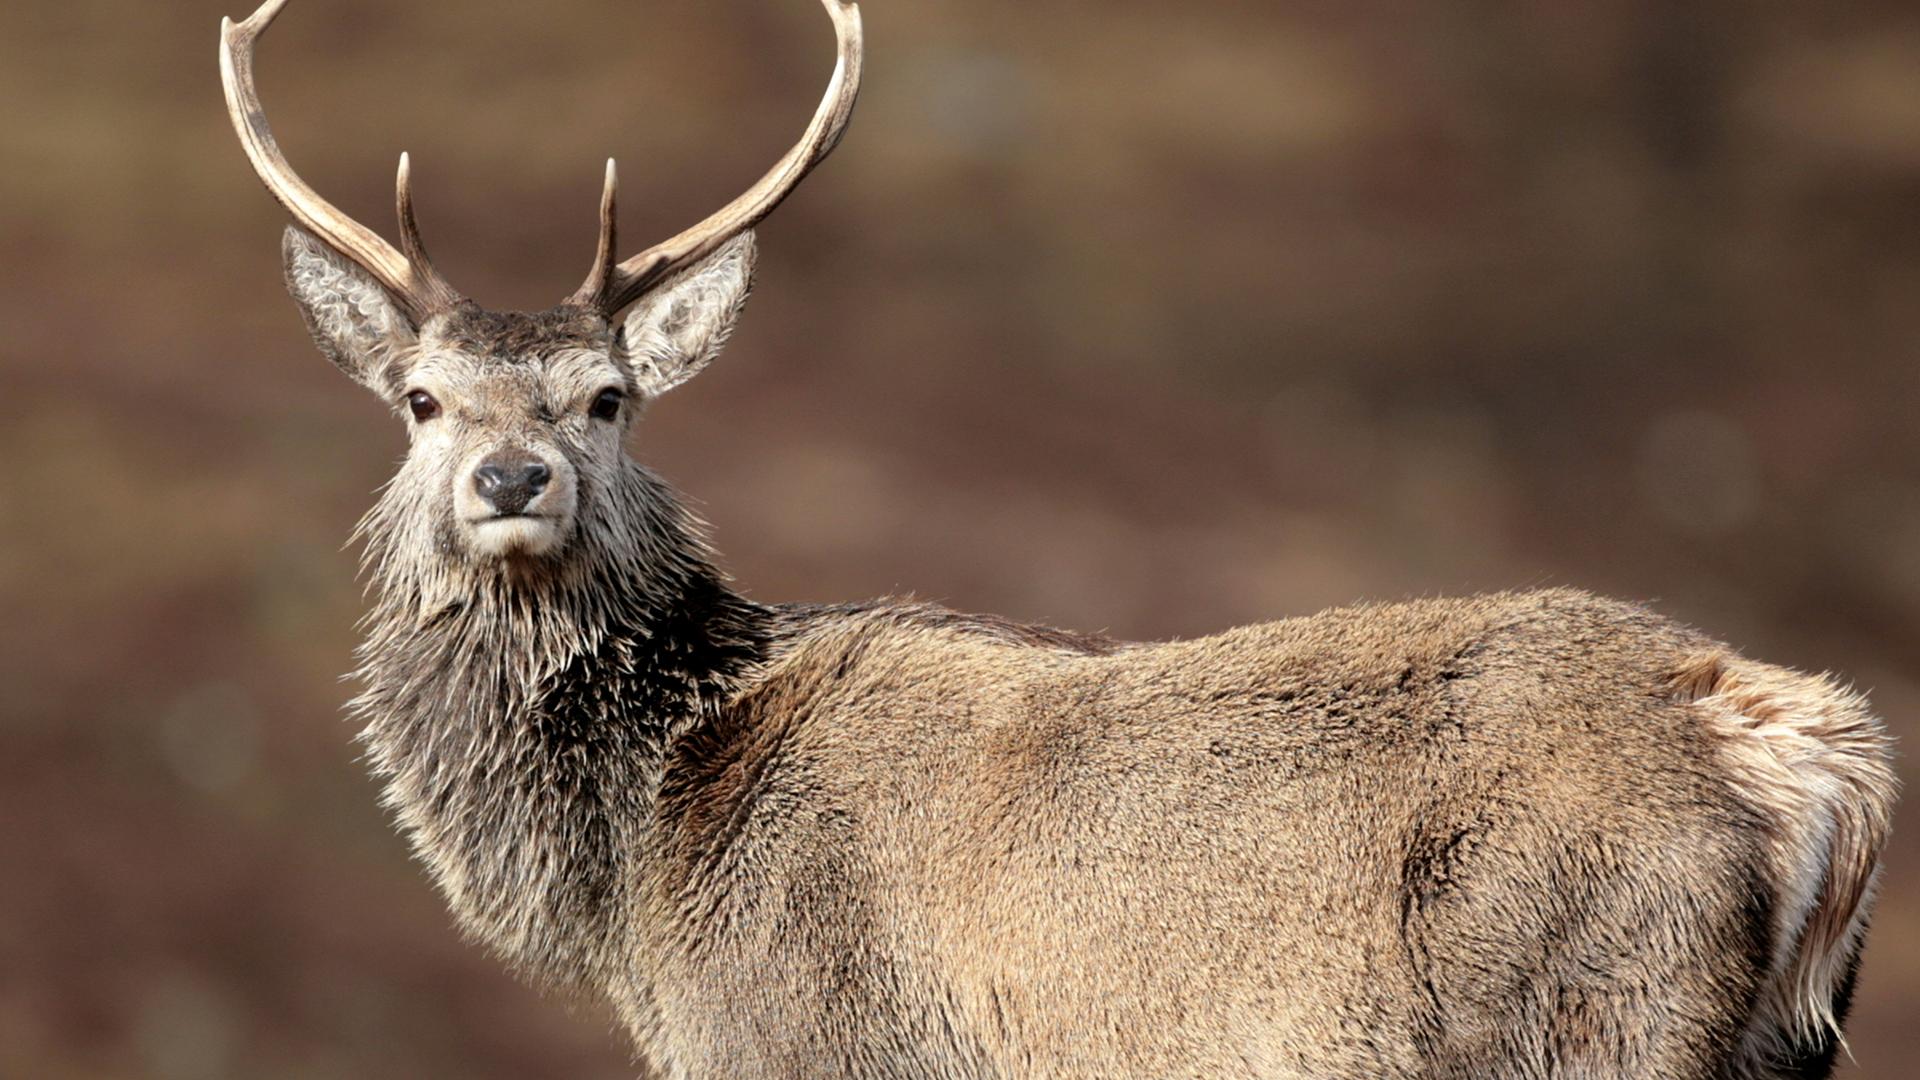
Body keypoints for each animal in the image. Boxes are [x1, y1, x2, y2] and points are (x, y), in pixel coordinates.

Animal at [218, 1, 1895, 1076]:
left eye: (608, 399)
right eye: (421, 400)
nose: (513, 478)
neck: (635, 874)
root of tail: (1817, 760)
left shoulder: (809, 1047)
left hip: (1591, 1014)